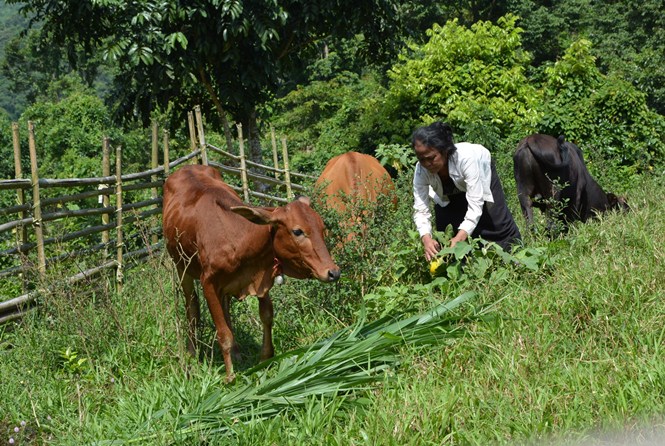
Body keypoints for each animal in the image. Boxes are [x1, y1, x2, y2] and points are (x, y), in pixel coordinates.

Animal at [163, 166, 340, 382]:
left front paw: (265, 358)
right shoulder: (208, 283)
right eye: (298, 231)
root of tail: (186, 167)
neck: (238, 238)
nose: (333, 272)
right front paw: (230, 377)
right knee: (192, 306)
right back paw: (192, 351)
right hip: (181, 266)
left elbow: (266, 317)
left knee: (226, 309)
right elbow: (223, 333)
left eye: (322, 228)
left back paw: (237, 353)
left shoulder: (262, 280)